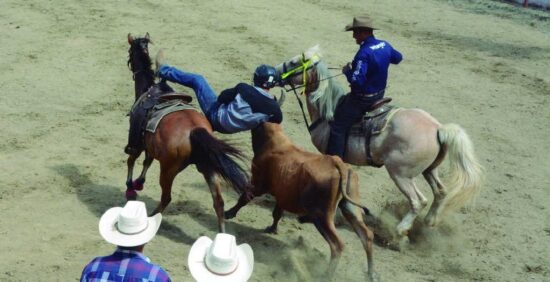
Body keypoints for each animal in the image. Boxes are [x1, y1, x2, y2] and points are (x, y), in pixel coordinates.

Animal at [126, 33, 251, 231]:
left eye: (130, 51)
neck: (147, 90)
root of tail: (194, 130)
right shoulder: (150, 145)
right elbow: (147, 161)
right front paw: (139, 182)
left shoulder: (136, 139)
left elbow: (132, 159)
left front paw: (131, 186)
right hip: (208, 167)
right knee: (218, 203)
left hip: (168, 171)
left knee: (166, 197)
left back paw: (152, 217)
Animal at [226, 123, 378, 282]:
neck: (271, 141)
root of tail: (338, 163)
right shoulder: (282, 195)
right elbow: (277, 213)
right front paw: (272, 229)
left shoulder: (258, 185)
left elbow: (244, 198)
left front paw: (228, 213)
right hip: (350, 208)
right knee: (367, 235)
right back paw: (371, 274)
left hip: (321, 215)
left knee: (337, 245)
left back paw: (325, 275)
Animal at [276, 45, 484, 241]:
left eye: (294, 62)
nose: (276, 72)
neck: (329, 110)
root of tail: (438, 128)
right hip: (429, 170)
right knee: (440, 192)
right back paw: (429, 222)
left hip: (400, 174)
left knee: (418, 201)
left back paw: (400, 232)